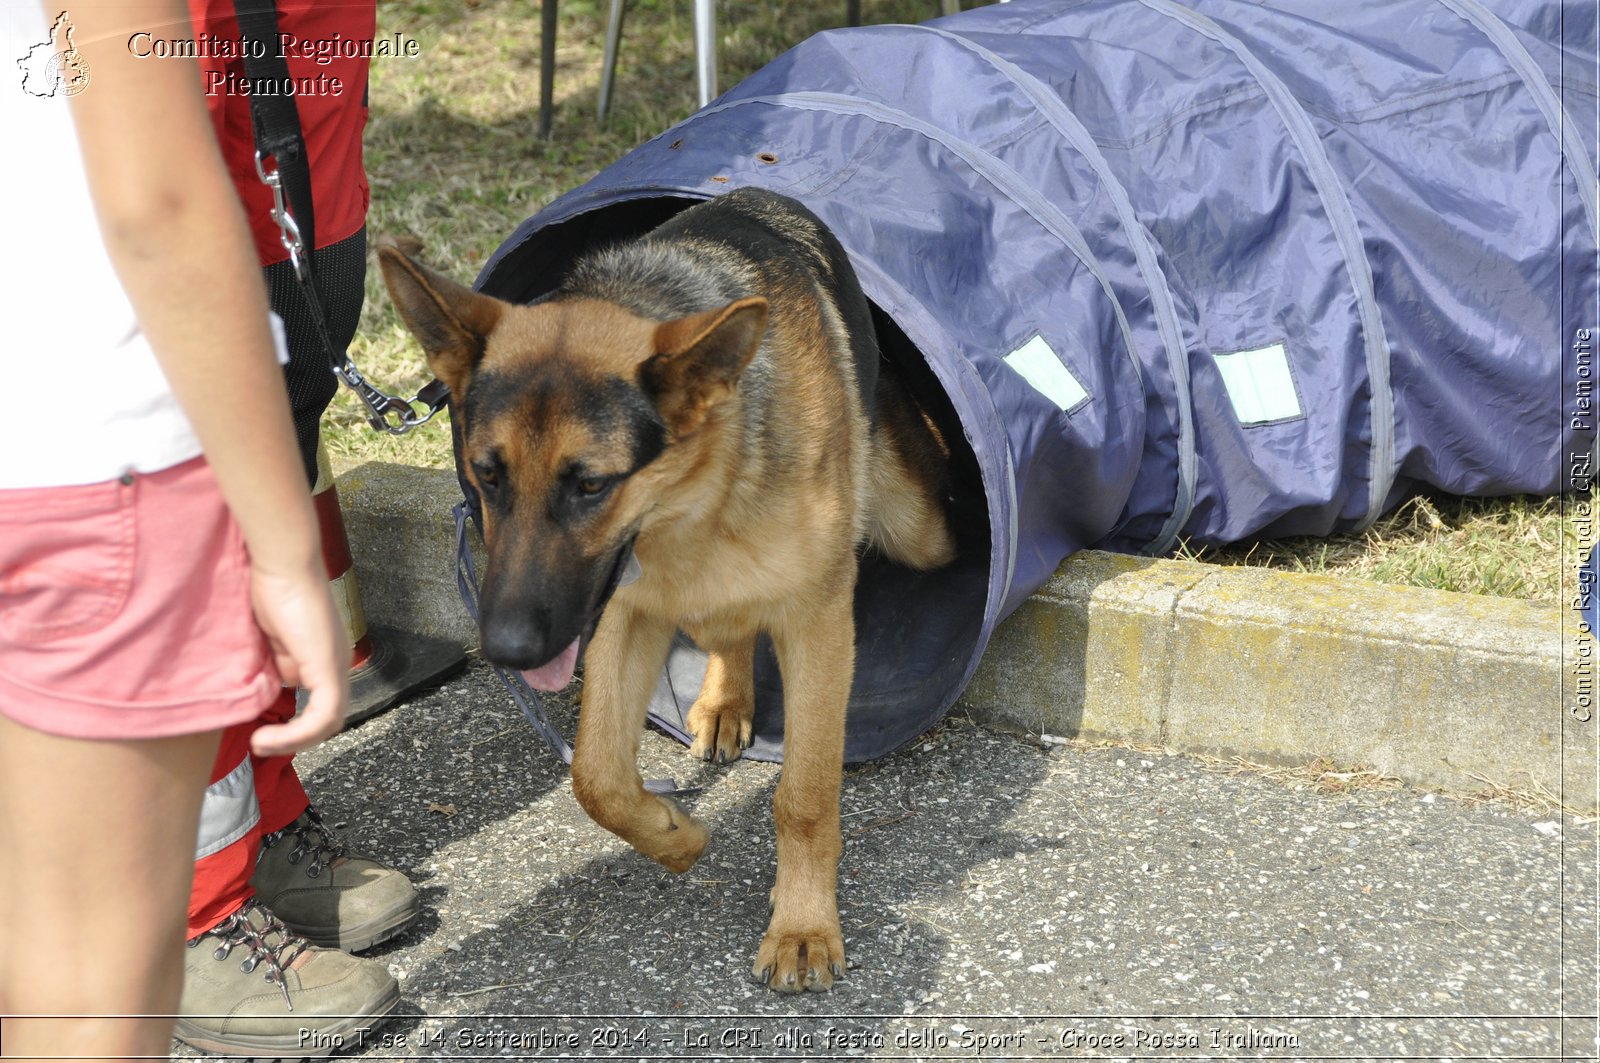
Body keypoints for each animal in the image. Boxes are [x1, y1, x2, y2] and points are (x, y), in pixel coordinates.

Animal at [376, 188, 953, 986]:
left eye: (590, 484)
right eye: (486, 474)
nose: (508, 651)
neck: (691, 501)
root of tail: (760, 193)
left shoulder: (817, 620)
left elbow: (804, 795)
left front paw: (803, 925)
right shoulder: (624, 614)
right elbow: (598, 778)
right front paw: (677, 835)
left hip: (918, 531)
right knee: (726, 630)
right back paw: (724, 699)